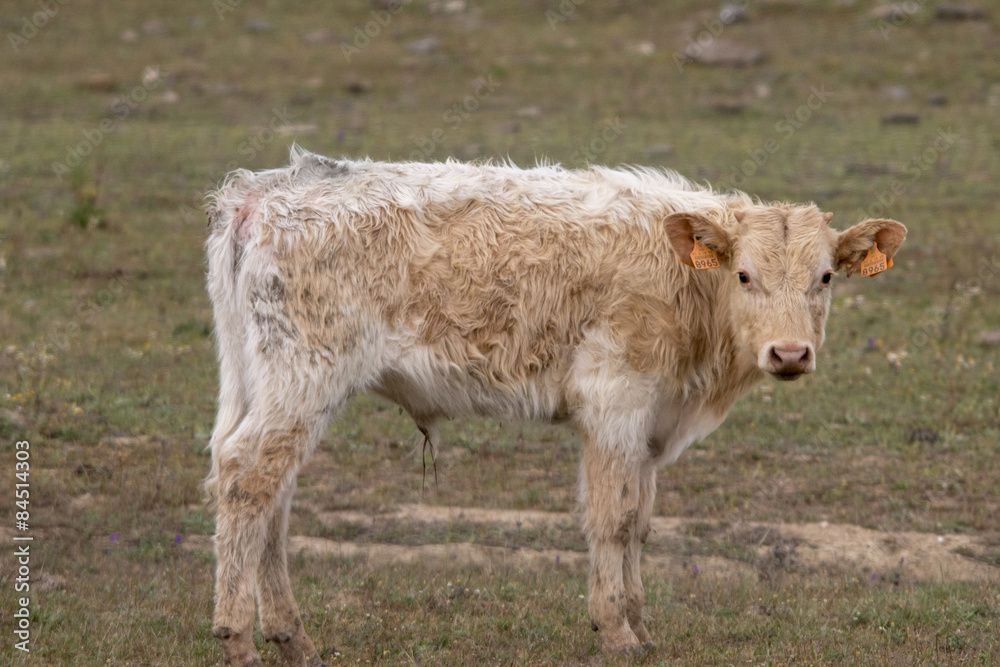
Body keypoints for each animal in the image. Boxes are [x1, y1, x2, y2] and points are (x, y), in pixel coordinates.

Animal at [203, 148, 906, 665]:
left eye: (825, 278)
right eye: (744, 275)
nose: (790, 353)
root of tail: (265, 191)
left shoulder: (649, 423)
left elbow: (640, 519)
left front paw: (640, 625)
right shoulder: (617, 401)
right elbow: (612, 517)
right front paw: (616, 631)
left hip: (258, 377)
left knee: (267, 492)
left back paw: (290, 636)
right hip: (304, 375)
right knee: (248, 477)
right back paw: (238, 636)